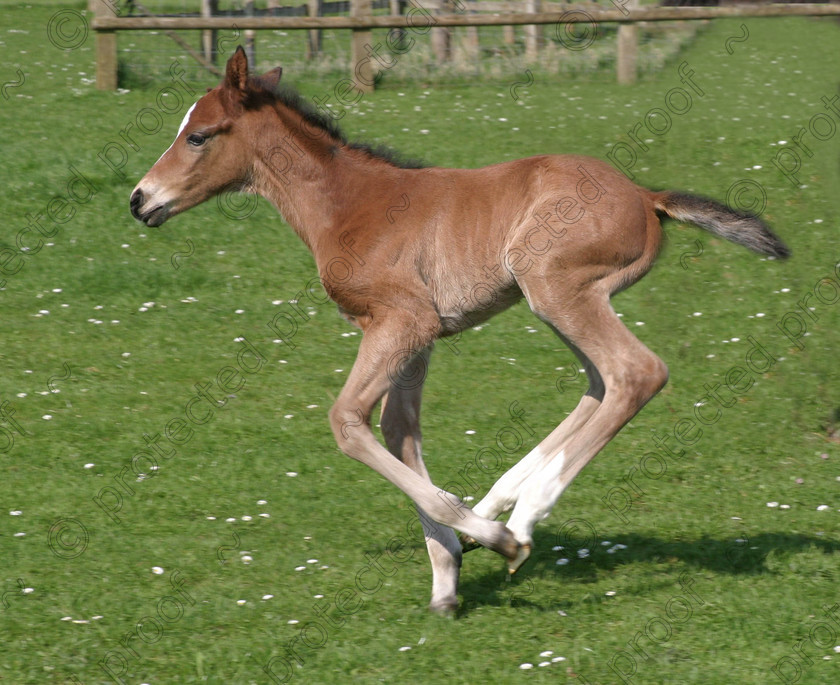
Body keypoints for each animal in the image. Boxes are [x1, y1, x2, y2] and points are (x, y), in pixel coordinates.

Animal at [130, 49, 788, 616]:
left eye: (198, 135)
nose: (140, 200)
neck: (345, 203)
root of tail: (646, 196)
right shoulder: (418, 336)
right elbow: (399, 432)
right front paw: (447, 573)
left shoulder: (402, 321)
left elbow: (348, 422)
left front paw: (488, 541)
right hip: (562, 298)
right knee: (599, 383)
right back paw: (503, 501)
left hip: (555, 286)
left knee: (634, 373)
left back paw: (519, 519)